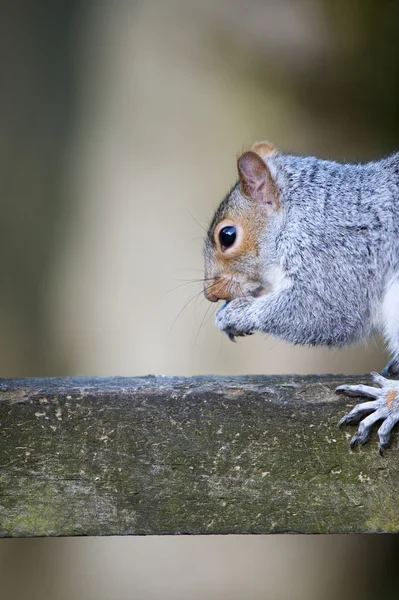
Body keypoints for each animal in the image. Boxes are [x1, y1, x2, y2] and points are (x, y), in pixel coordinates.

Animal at [205, 139, 398, 450]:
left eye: (227, 235)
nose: (210, 294)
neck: (301, 213)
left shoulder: (337, 254)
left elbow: (325, 311)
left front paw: (236, 315)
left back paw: (388, 402)